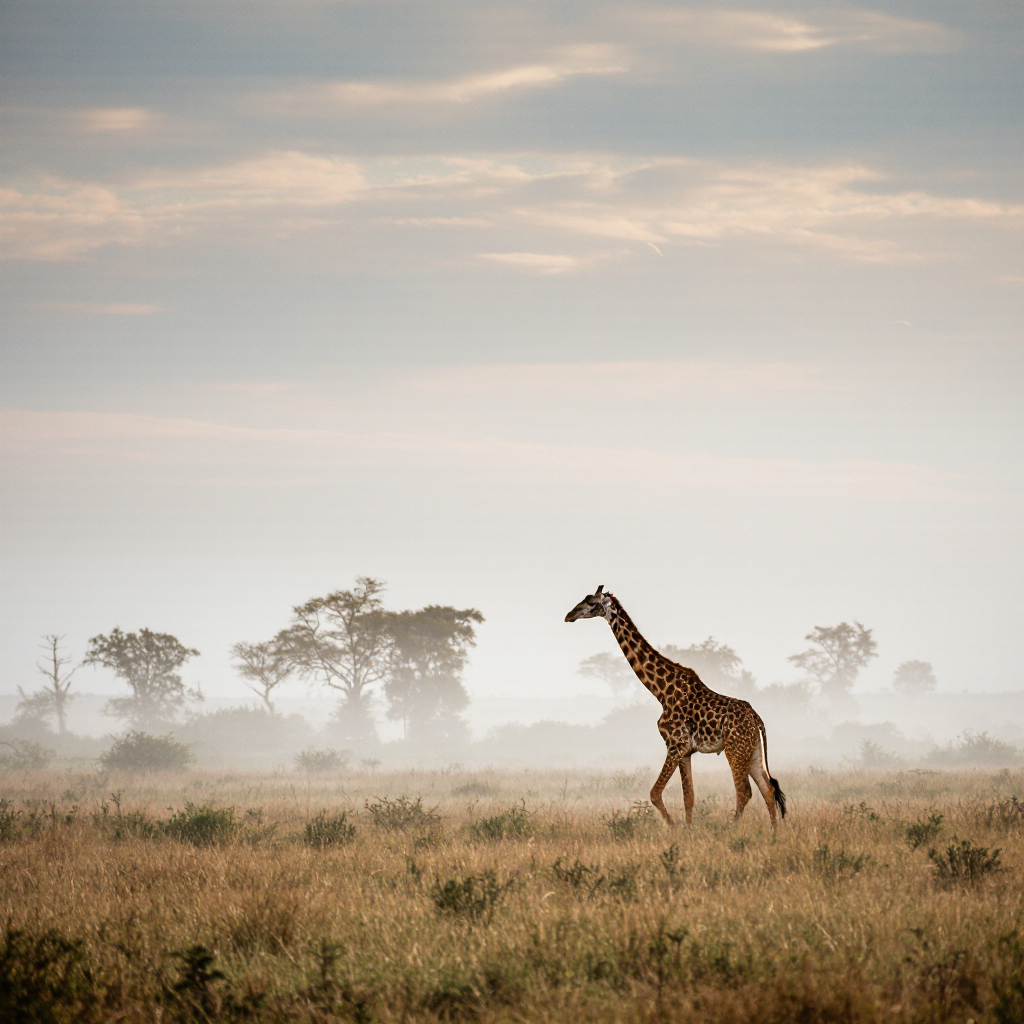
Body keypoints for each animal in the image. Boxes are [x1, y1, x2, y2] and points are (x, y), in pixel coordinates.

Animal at [565, 586, 786, 828]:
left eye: (592, 603)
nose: (569, 615)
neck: (661, 691)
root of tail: (757, 719)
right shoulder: (686, 750)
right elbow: (688, 797)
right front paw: (688, 830)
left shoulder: (675, 744)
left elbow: (655, 793)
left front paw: (673, 827)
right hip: (752, 751)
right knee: (767, 789)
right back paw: (774, 832)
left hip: (735, 748)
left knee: (745, 791)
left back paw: (733, 829)